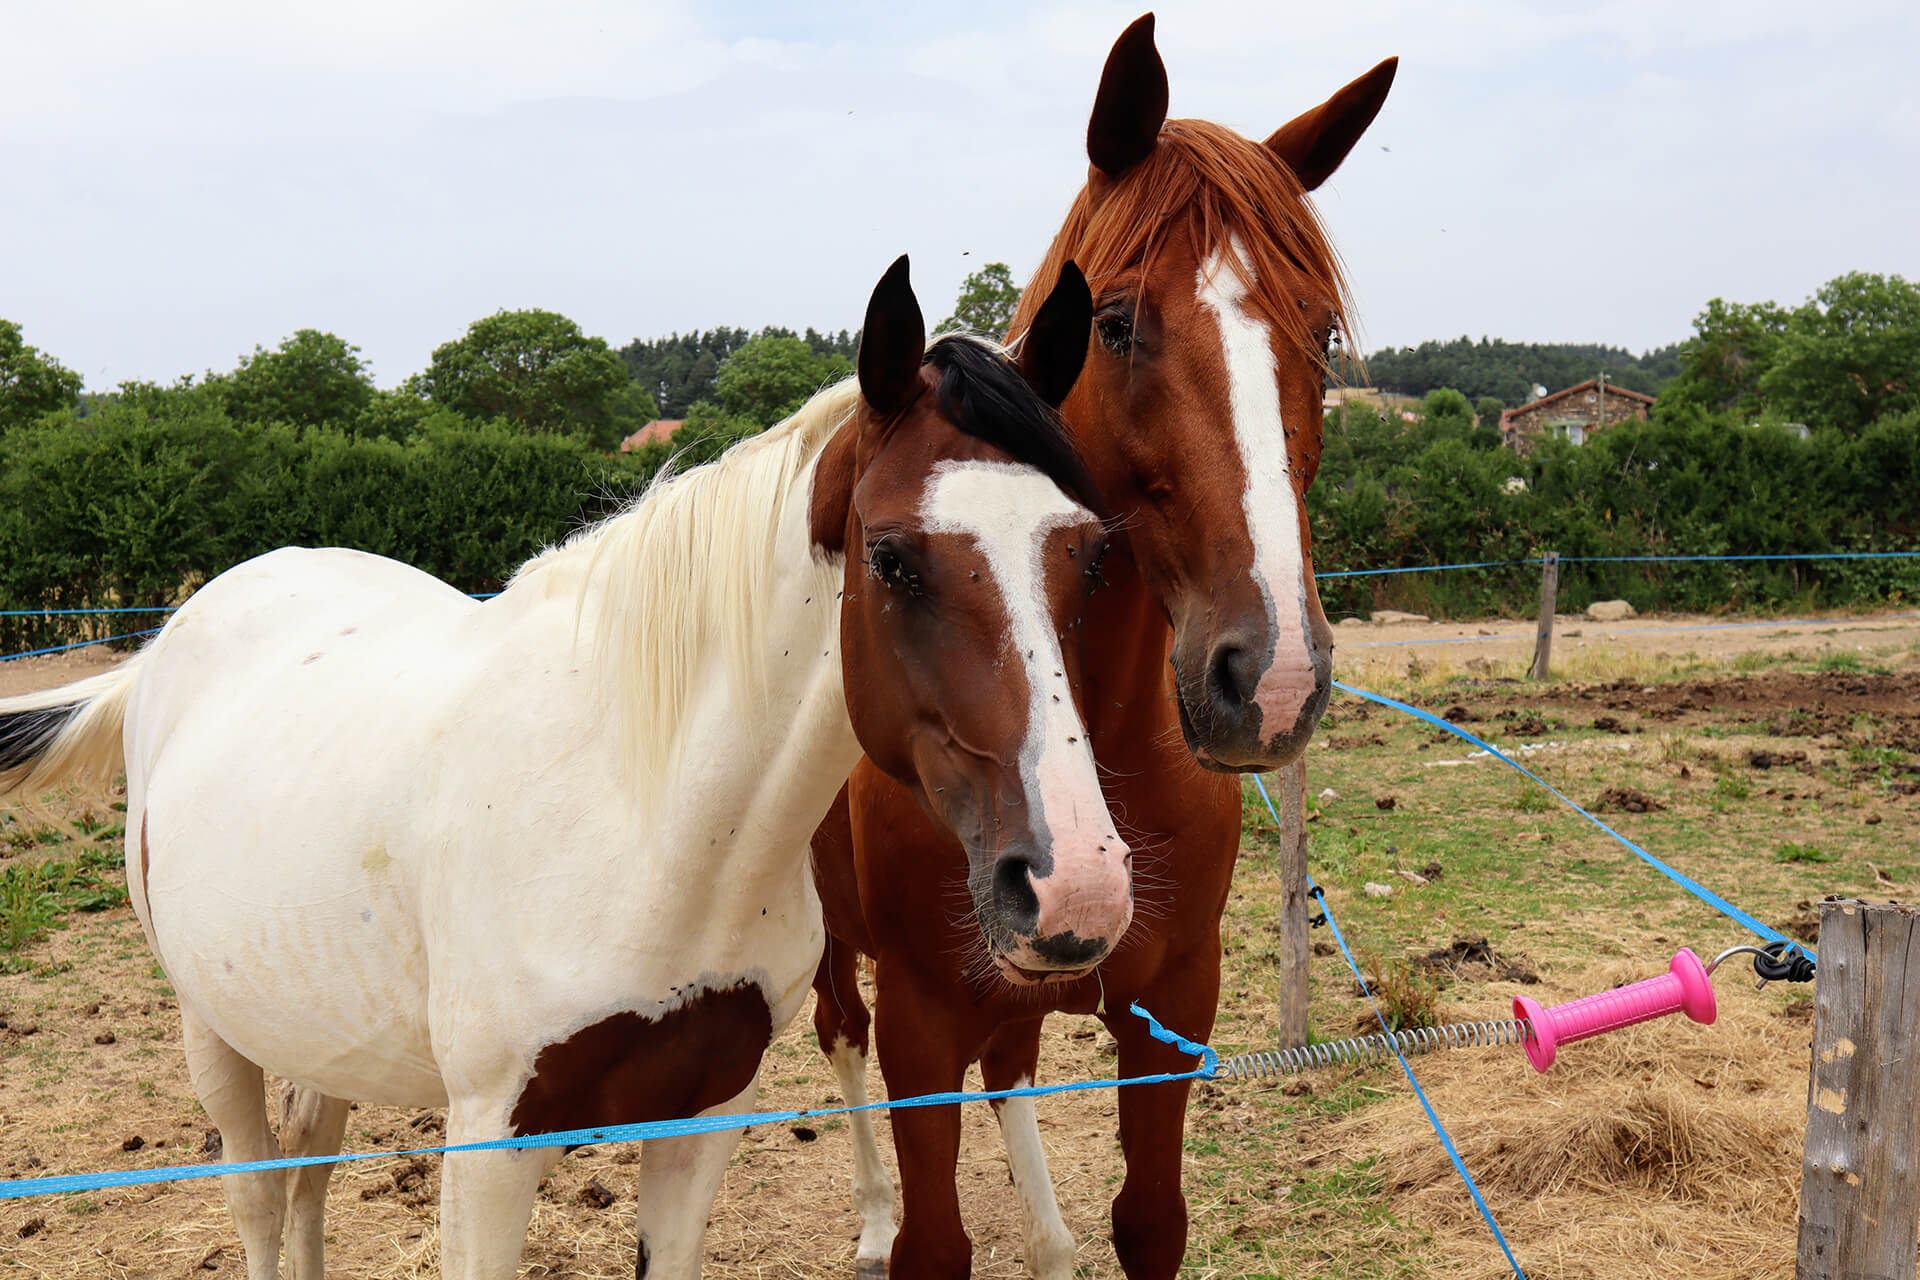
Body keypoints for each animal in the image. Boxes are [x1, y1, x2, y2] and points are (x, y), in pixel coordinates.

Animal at [0, 257, 1133, 1280]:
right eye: (893, 558)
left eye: (1089, 557)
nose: (1075, 889)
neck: (646, 823)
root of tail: (174, 633)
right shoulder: (491, 1144)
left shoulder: (703, 1118)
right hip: (213, 1027)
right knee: (259, 1195)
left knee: (312, 1164)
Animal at [808, 17, 1397, 1278]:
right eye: (1119, 322)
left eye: (1321, 332)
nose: (1271, 677)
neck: (1106, 746)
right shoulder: (924, 1021)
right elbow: (934, 1232)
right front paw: (907, 1223)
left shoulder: (1170, 1008)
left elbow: (1151, 1218)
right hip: (830, 940)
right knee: (839, 1033)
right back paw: (870, 1210)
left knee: (1010, 1068)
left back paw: (1047, 1233)